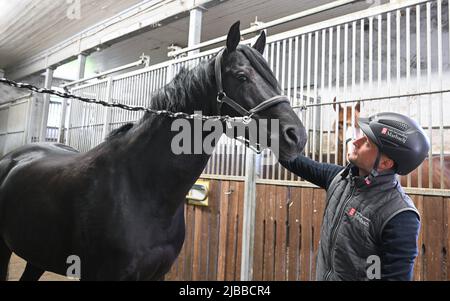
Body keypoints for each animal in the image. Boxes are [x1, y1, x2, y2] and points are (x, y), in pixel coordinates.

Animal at [0, 22, 306, 280]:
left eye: (273, 77)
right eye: (241, 76)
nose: (297, 136)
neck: (140, 187)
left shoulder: (157, 273)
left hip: (37, 255)